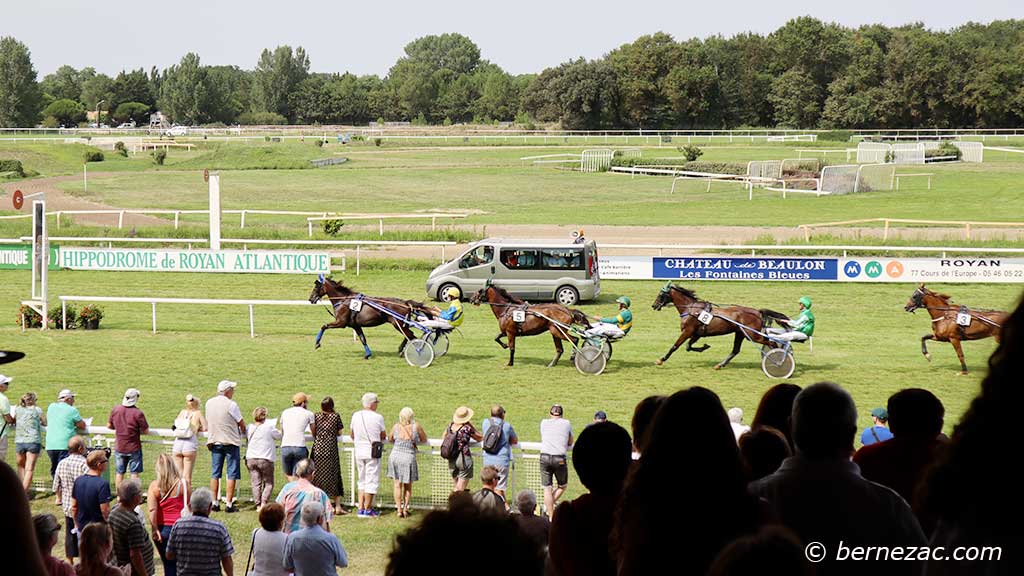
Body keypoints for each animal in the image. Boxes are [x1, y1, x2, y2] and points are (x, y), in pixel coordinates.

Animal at [309, 274, 438, 358]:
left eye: (316, 287)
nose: (310, 299)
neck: (344, 300)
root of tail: (405, 302)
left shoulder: (341, 323)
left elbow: (324, 326)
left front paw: (317, 343)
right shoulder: (355, 325)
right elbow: (363, 339)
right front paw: (367, 354)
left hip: (398, 323)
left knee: (411, 336)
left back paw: (414, 351)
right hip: (401, 324)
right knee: (409, 335)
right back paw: (403, 350)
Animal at [651, 282, 786, 366]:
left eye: (661, 294)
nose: (654, 305)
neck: (691, 309)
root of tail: (757, 312)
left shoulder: (687, 331)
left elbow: (675, 346)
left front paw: (661, 360)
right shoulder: (697, 334)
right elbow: (688, 347)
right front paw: (704, 347)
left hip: (752, 335)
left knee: (772, 342)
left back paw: (779, 360)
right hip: (740, 333)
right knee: (735, 350)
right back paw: (720, 365)